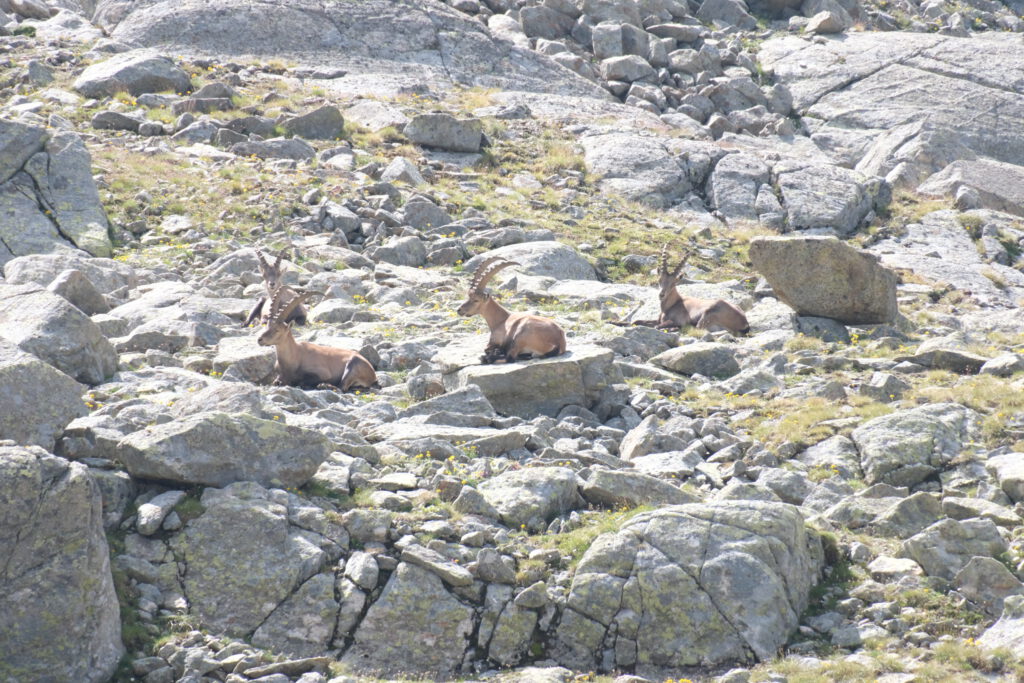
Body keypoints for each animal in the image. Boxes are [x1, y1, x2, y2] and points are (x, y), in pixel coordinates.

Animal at [614, 244, 749, 335]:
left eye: (674, 283)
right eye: (659, 280)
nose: (661, 295)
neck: (673, 304)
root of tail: (744, 322)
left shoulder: (678, 320)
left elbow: (659, 326)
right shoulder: (657, 320)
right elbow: (636, 321)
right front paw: (615, 322)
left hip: (707, 315)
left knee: (695, 328)